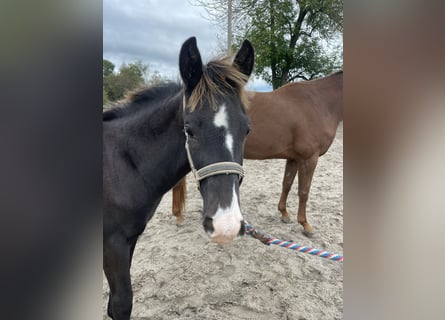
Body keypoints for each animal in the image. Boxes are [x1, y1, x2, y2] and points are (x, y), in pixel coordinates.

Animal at [172, 71, 342, 236]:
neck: (318, 102)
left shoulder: (294, 158)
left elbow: (286, 184)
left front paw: (284, 214)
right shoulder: (309, 158)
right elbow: (304, 191)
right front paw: (306, 225)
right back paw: (178, 216)